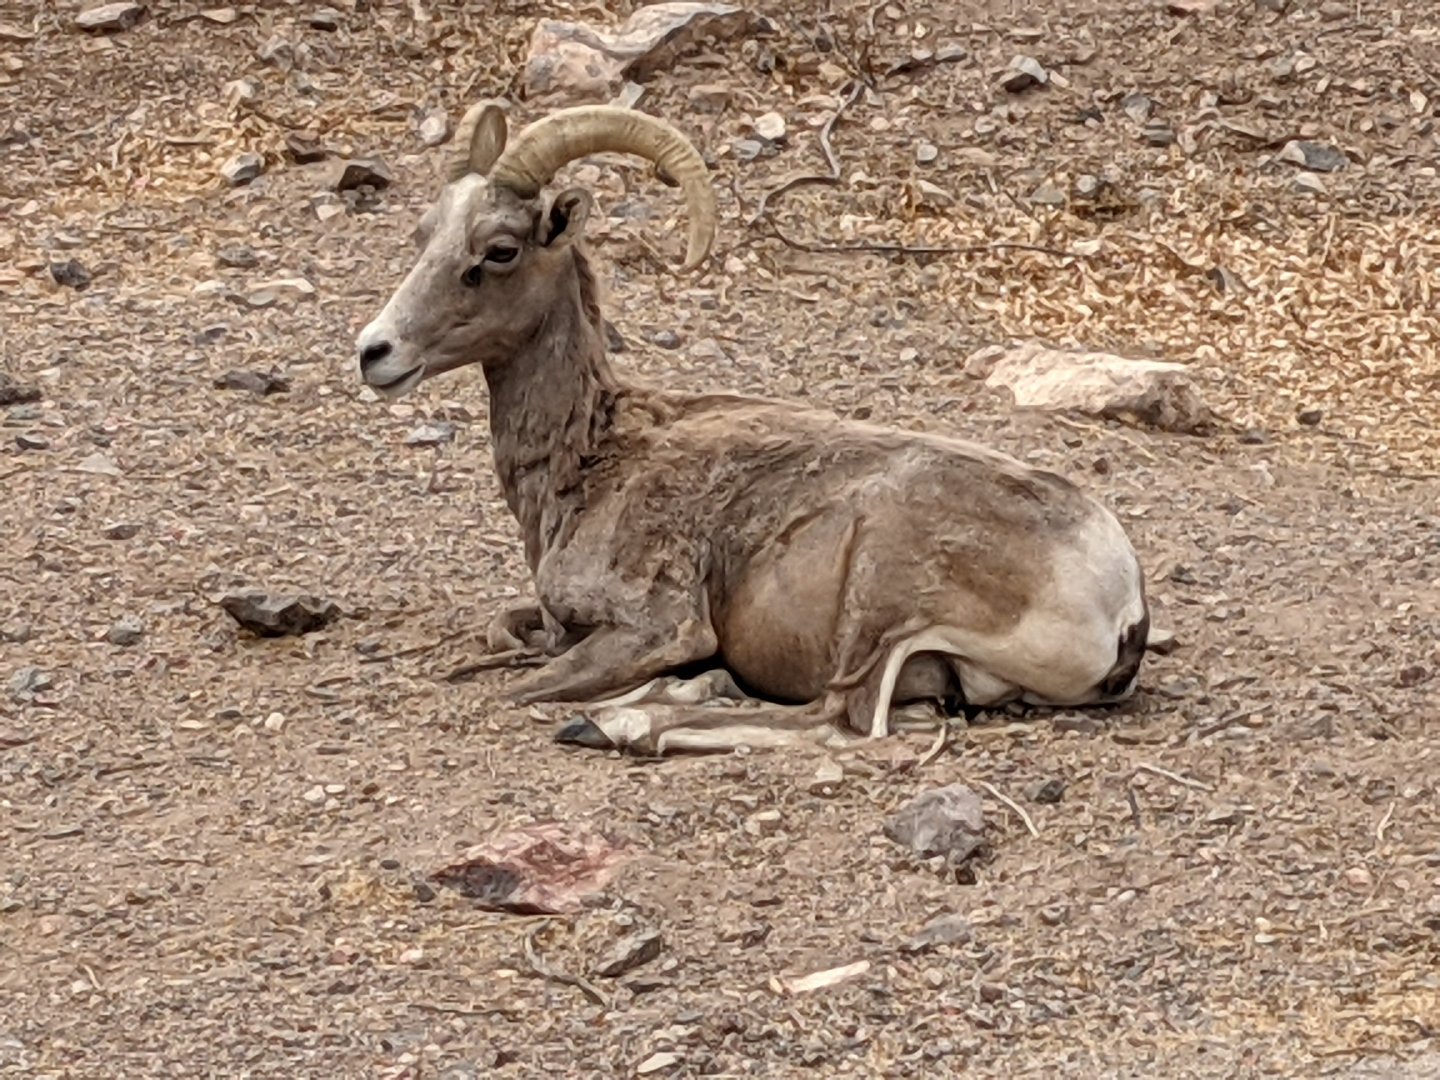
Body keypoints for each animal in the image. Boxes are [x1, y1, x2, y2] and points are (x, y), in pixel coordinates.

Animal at [353, 101, 1152, 755]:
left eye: (500, 251)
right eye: (425, 235)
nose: (375, 351)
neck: (592, 461)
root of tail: (1117, 595)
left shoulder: (656, 626)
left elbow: (517, 685)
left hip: (878, 593)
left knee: (839, 723)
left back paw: (621, 722)